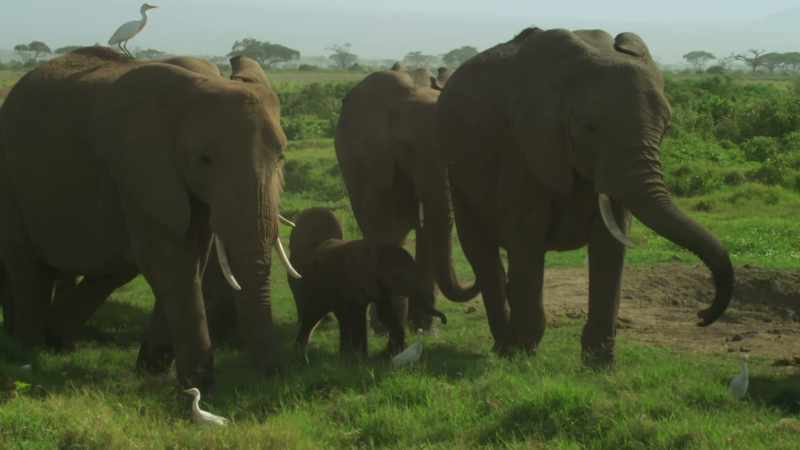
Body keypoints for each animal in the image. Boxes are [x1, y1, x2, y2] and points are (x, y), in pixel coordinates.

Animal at [0, 47, 301, 389]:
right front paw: (200, 385)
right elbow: (170, 259)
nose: (272, 376)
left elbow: (192, 255)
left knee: (108, 268)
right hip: (10, 178)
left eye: (281, 156)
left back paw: (54, 339)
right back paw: (26, 348)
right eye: (205, 160)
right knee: (27, 266)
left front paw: (153, 370)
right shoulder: (140, 169)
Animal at [288, 208, 446, 359]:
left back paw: (342, 354)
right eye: (400, 277)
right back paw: (300, 351)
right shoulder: (357, 278)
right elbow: (360, 313)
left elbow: (386, 313)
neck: (377, 252)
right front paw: (362, 358)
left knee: (339, 315)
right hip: (315, 283)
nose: (444, 320)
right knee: (314, 312)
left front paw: (391, 354)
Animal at [335, 69, 478, 333]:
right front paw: (392, 325)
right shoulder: (377, 161)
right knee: (376, 230)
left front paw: (425, 328)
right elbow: (389, 228)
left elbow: (428, 229)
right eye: (409, 148)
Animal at [436, 28, 734, 365]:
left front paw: (599, 363)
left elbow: (610, 241)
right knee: (481, 252)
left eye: (666, 128)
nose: (701, 316)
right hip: (456, 170)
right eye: (589, 128)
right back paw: (504, 349)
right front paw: (524, 355)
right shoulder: (523, 147)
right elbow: (527, 238)